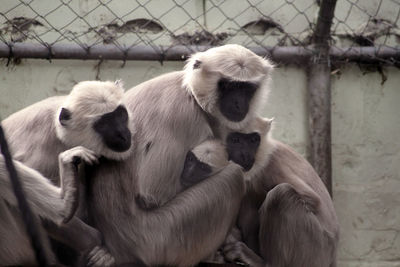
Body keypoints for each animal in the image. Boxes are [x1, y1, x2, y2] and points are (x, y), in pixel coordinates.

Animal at [0, 80, 132, 267]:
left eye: (120, 115)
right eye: (104, 124)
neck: (58, 132)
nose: (122, 134)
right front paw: (101, 246)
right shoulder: (42, 152)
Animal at [86, 44, 274, 266]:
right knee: (233, 177)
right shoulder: (184, 116)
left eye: (246, 89)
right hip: (162, 240)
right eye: (228, 86)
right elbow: (151, 195)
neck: (189, 93)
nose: (238, 103)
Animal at [220, 117, 340, 267]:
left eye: (253, 140)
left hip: (315, 248)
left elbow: (313, 200)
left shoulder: (270, 165)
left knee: (280, 195)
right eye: (235, 140)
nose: (245, 155)